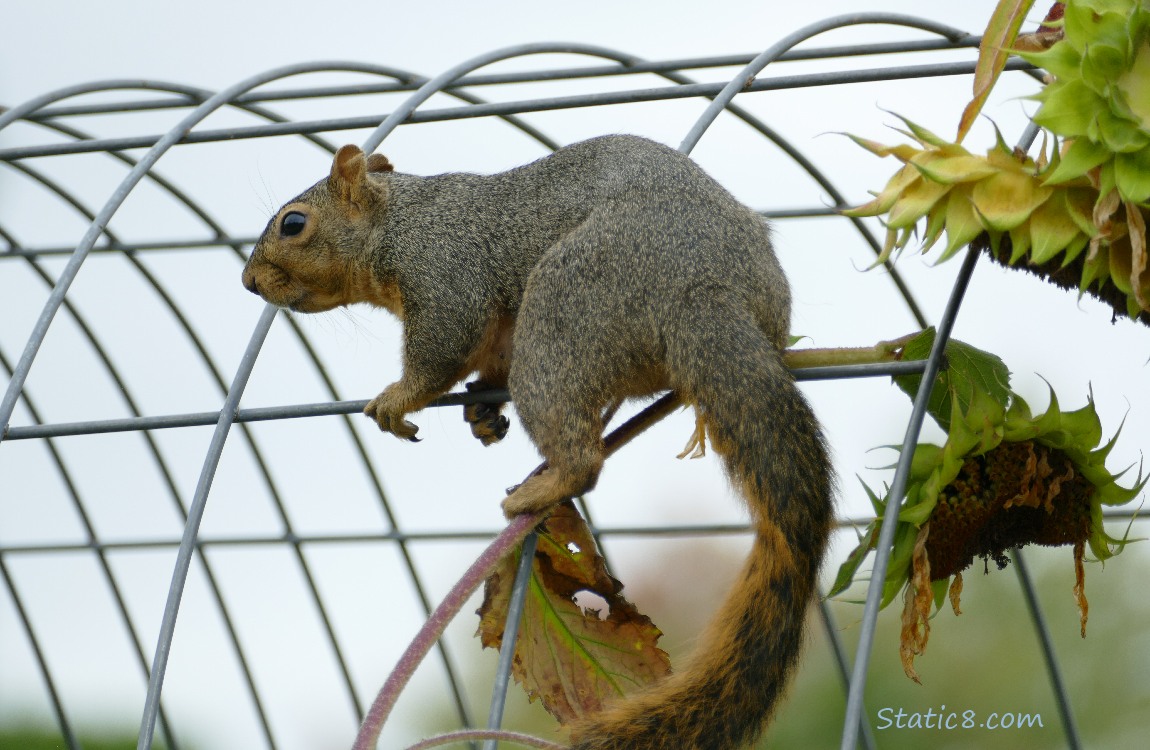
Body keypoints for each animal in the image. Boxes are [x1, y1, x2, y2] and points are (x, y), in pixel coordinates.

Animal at [244, 136, 837, 750]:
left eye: (293, 223)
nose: (250, 282)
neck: (401, 218)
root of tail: (703, 289)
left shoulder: (443, 271)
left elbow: (442, 351)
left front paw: (396, 400)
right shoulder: (491, 323)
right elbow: (487, 359)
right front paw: (482, 408)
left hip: (561, 313)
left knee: (582, 455)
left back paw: (538, 491)